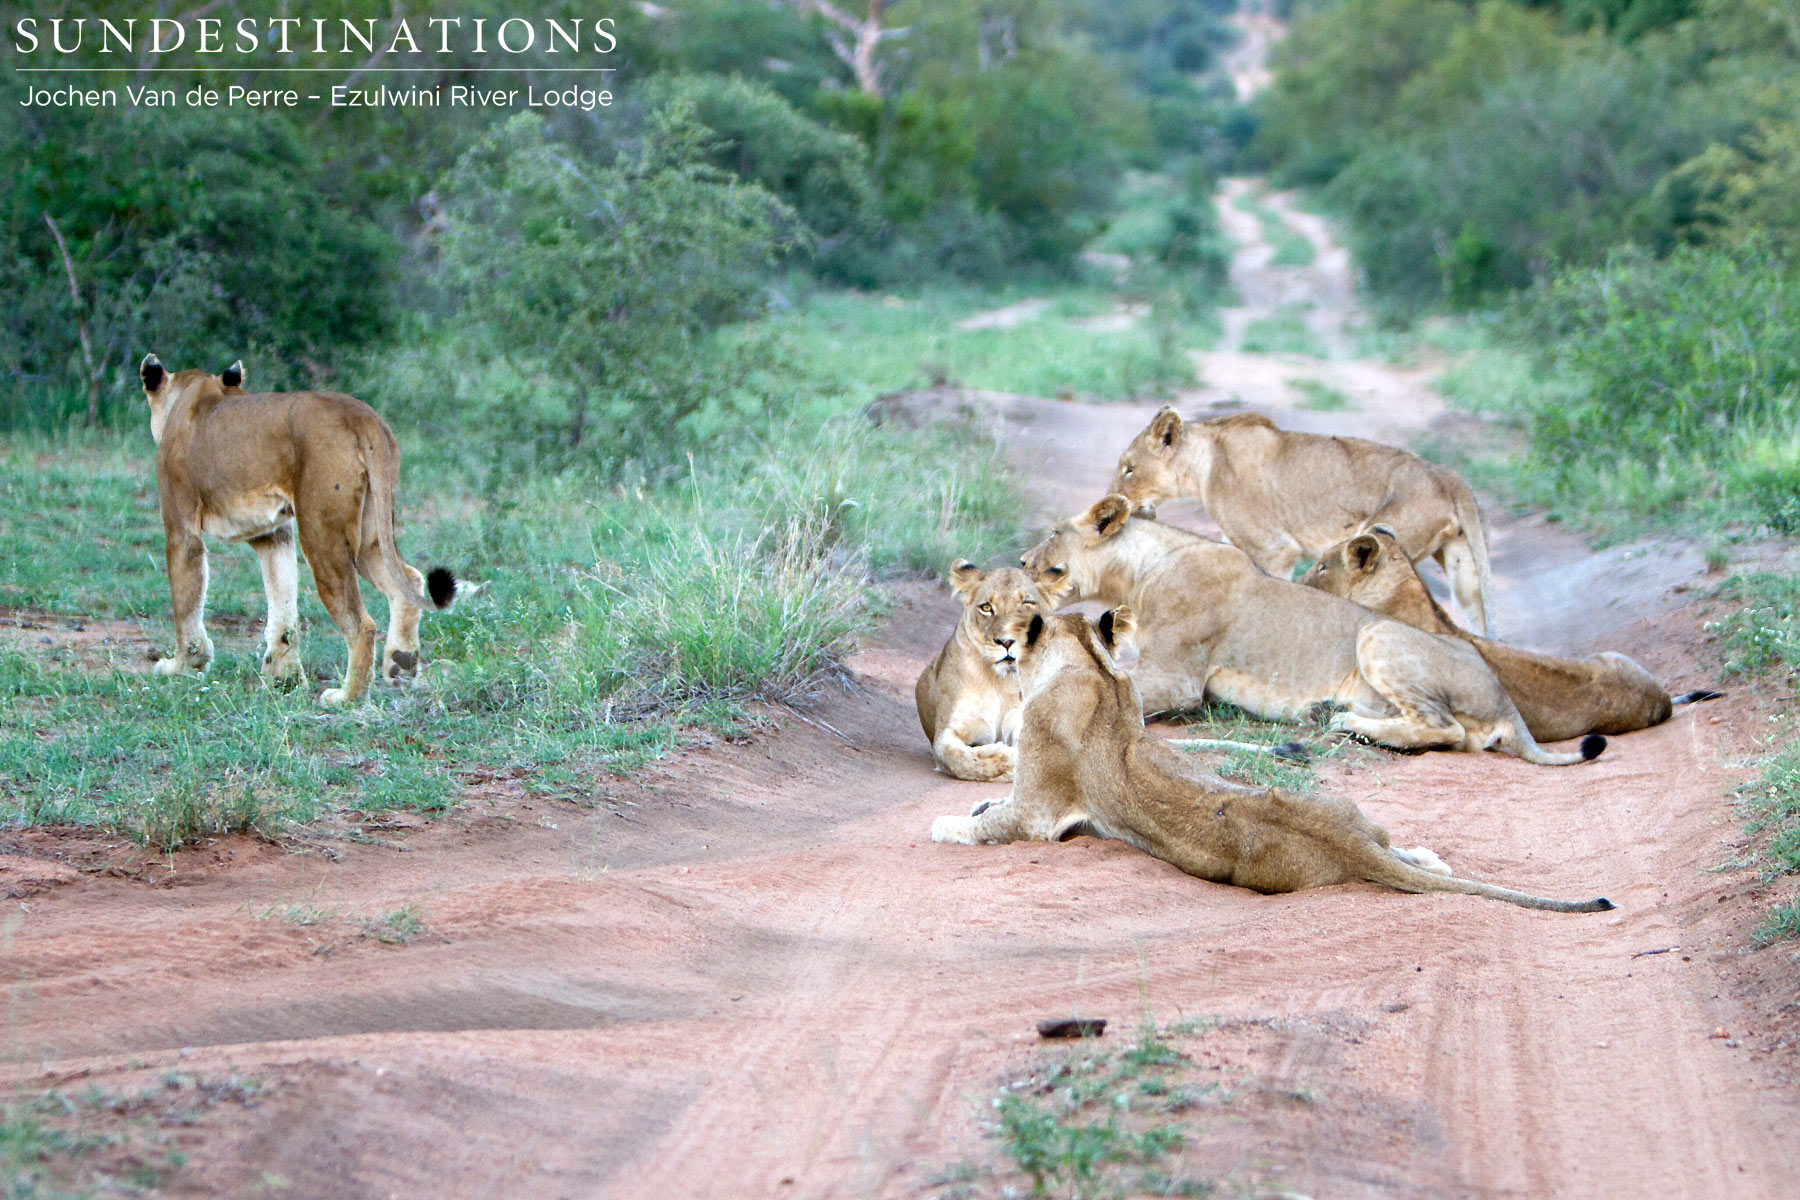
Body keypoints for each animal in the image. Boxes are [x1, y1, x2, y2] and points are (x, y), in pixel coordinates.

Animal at [139, 354, 467, 706]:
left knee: (362, 624)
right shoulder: (272, 535)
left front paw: (182, 666)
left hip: (321, 532)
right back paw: (400, 665)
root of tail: (360, 413)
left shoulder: (181, 528)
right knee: (409, 581)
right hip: (371, 533)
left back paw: (347, 697)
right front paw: (283, 677)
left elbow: (186, 602)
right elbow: (282, 603)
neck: (192, 391)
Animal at [930, 605, 1613, 913]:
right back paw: (1429, 859)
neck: (1093, 666)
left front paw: (945, 824)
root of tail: (1343, 840)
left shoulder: (1039, 813)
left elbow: (989, 824)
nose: (1007, 649)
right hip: (1351, 810)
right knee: (1401, 847)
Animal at [1021, 496, 1605, 766]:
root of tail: (1506, 700)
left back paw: (1344, 722)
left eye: (1052, 532)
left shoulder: (1179, 680)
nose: (1024, 561)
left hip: (1378, 637)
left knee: (1446, 730)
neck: (1141, 570)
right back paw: (1332, 714)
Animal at [1110, 408, 1496, 635]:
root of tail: (1448, 475)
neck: (1205, 462)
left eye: (1129, 468)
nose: (1114, 498)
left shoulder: (1276, 549)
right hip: (1463, 569)